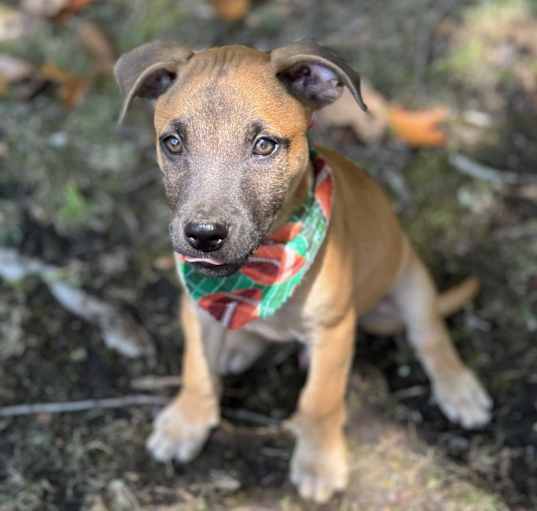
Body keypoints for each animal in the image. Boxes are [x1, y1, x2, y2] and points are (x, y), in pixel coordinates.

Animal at [115, 41, 492, 504]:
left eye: (264, 145)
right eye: (172, 143)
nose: (203, 235)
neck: (261, 269)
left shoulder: (333, 328)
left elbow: (320, 400)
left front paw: (319, 463)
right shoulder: (196, 308)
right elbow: (197, 370)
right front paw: (187, 421)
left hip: (411, 280)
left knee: (430, 336)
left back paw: (459, 389)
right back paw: (241, 346)